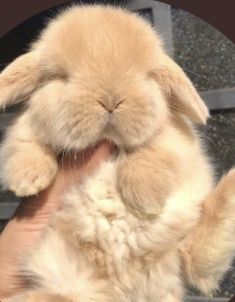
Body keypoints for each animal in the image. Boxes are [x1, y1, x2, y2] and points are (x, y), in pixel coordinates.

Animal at [0, 4, 235, 302]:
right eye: (61, 77)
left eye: (147, 75)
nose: (110, 100)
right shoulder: (24, 129)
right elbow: (23, 142)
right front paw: (26, 181)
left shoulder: (177, 139)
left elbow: (155, 149)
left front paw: (144, 197)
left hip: (178, 249)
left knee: (199, 257)